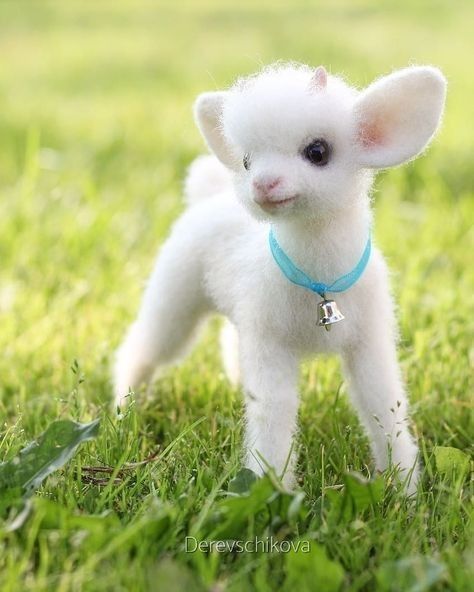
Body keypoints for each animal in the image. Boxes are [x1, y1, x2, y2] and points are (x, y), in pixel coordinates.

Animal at [113, 62, 446, 492]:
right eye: (247, 161)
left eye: (317, 152)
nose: (262, 184)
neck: (322, 284)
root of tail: (208, 195)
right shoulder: (270, 345)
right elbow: (274, 412)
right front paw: (274, 489)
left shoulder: (369, 342)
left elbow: (383, 404)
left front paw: (404, 488)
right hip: (175, 296)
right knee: (144, 348)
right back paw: (126, 408)